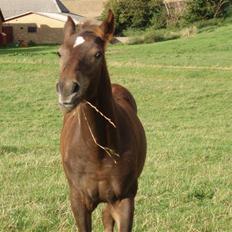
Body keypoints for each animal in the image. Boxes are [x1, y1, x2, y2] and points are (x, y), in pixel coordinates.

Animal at [56, 10, 146, 231]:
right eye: (60, 53)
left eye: (98, 54)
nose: (67, 90)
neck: (98, 150)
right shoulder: (78, 201)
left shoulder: (124, 199)